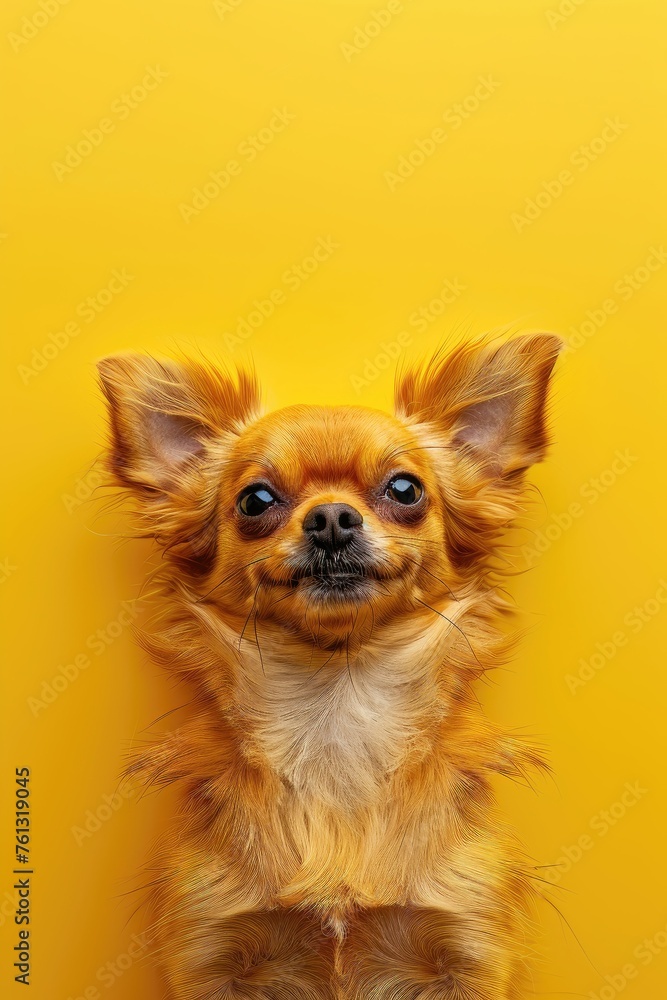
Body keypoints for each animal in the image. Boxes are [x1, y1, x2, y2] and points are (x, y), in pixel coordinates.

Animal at [98, 336, 564, 1000]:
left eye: (405, 490)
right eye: (256, 500)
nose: (332, 518)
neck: (336, 710)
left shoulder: (467, 947)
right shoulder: (209, 950)